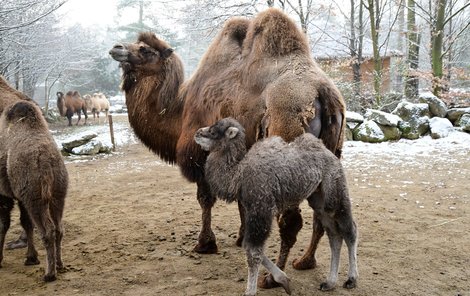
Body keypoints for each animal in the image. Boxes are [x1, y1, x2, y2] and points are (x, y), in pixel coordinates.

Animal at [0, 100, 68, 280]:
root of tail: (46, 160)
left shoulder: (4, 194)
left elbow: (4, 224)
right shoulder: (20, 197)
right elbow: (25, 222)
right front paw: (31, 257)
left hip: (35, 198)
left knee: (48, 230)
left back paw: (49, 274)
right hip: (58, 195)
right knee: (59, 228)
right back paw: (59, 264)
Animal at [194, 118, 356, 296]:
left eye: (214, 131)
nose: (197, 133)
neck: (238, 176)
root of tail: (330, 154)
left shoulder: (261, 210)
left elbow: (253, 252)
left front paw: (251, 291)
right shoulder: (252, 212)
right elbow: (248, 245)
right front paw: (283, 280)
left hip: (337, 189)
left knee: (349, 230)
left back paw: (351, 280)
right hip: (318, 199)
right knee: (334, 235)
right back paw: (329, 283)